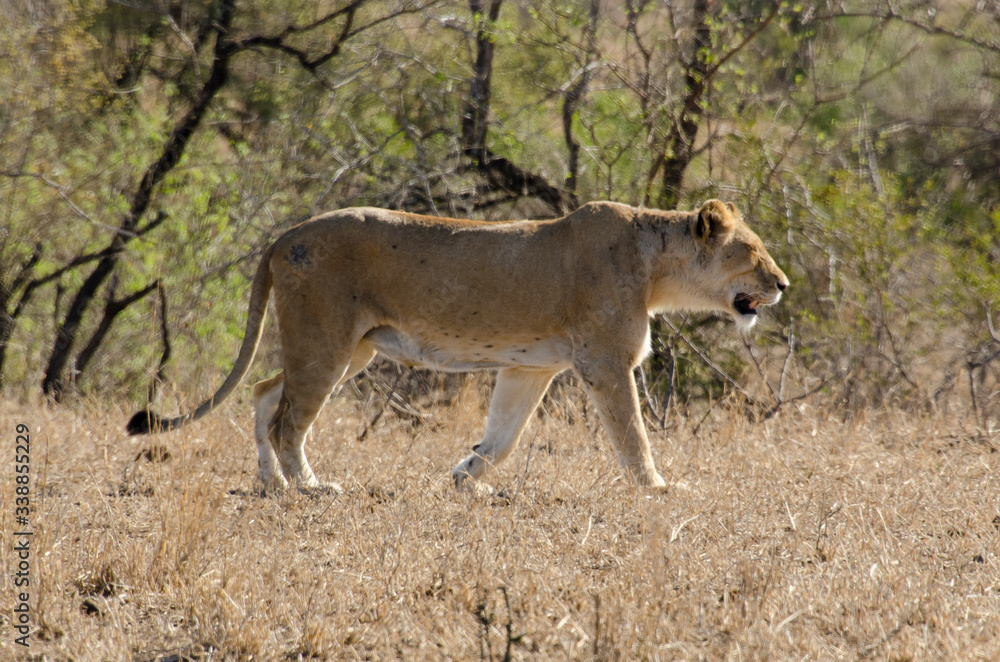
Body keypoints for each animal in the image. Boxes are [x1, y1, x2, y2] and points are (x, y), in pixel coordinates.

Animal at [128, 200, 788, 493]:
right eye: (753, 252)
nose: (782, 284)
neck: (657, 270)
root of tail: (286, 233)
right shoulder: (605, 363)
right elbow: (633, 435)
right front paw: (656, 489)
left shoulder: (533, 368)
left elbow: (503, 436)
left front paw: (466, 477)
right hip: (326, 342)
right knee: (287, 419)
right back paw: (311, 487)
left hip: (352, 348)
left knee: (265, 393)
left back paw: (271, 484)